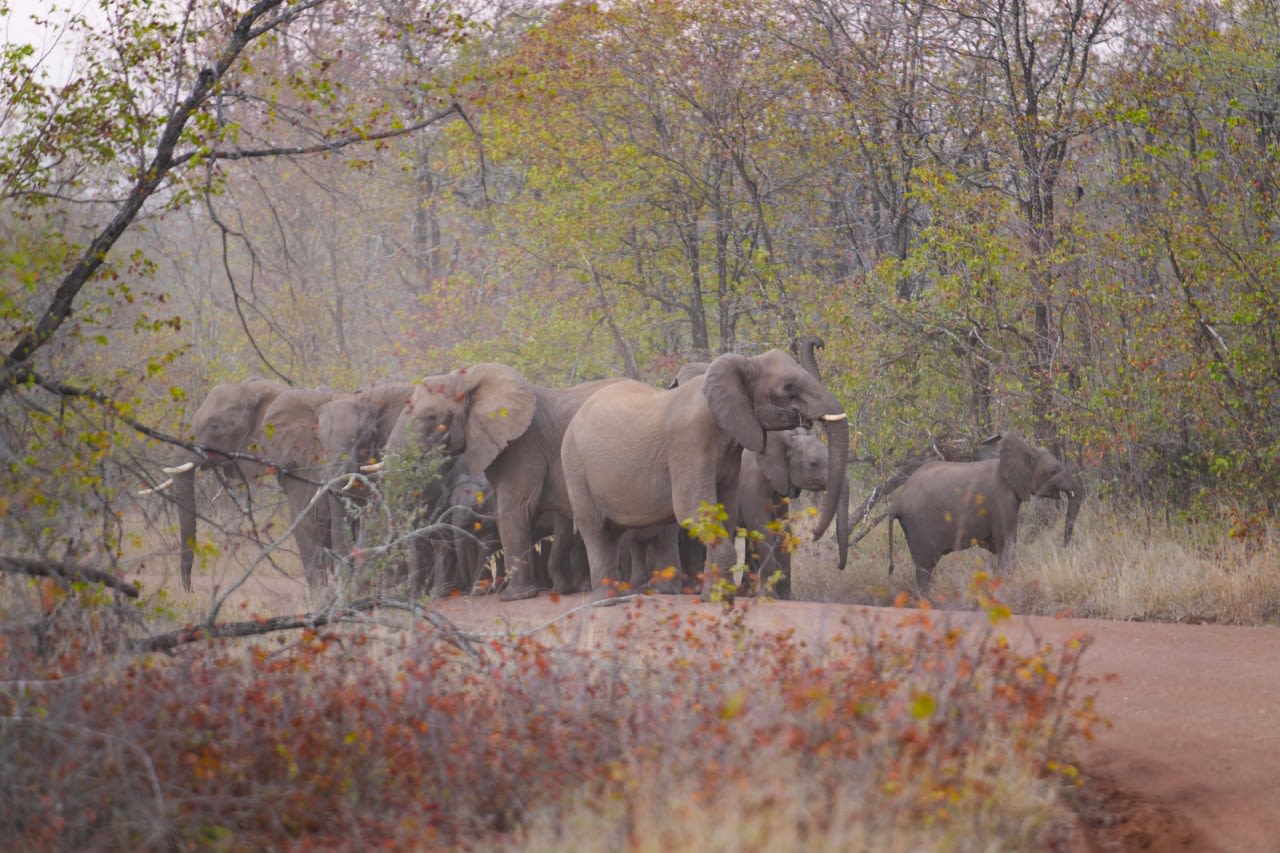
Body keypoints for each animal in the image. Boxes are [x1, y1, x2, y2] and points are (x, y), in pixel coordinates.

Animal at [384, 363, 619, 596]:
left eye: (431, 416)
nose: (464, 590)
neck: (468, 379)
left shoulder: (525, 446)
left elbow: (513, 510)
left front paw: (516, 597)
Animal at [563, 348, 849, 594]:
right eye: (789, 387)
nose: (814, 535)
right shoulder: (689, 445)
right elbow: (696, 512)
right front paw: (722, 597)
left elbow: (726, 513)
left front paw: (714, 595)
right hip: (575, 468)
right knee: (596, 529)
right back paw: (606, 599)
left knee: (615, 532)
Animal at [885, 432, 1085, 591]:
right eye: (1053, 472)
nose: (1062, 547)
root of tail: (897, 503)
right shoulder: (1002, 499)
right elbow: (1006, 543)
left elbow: (996, 546)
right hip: (919, 525)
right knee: (925, 568)